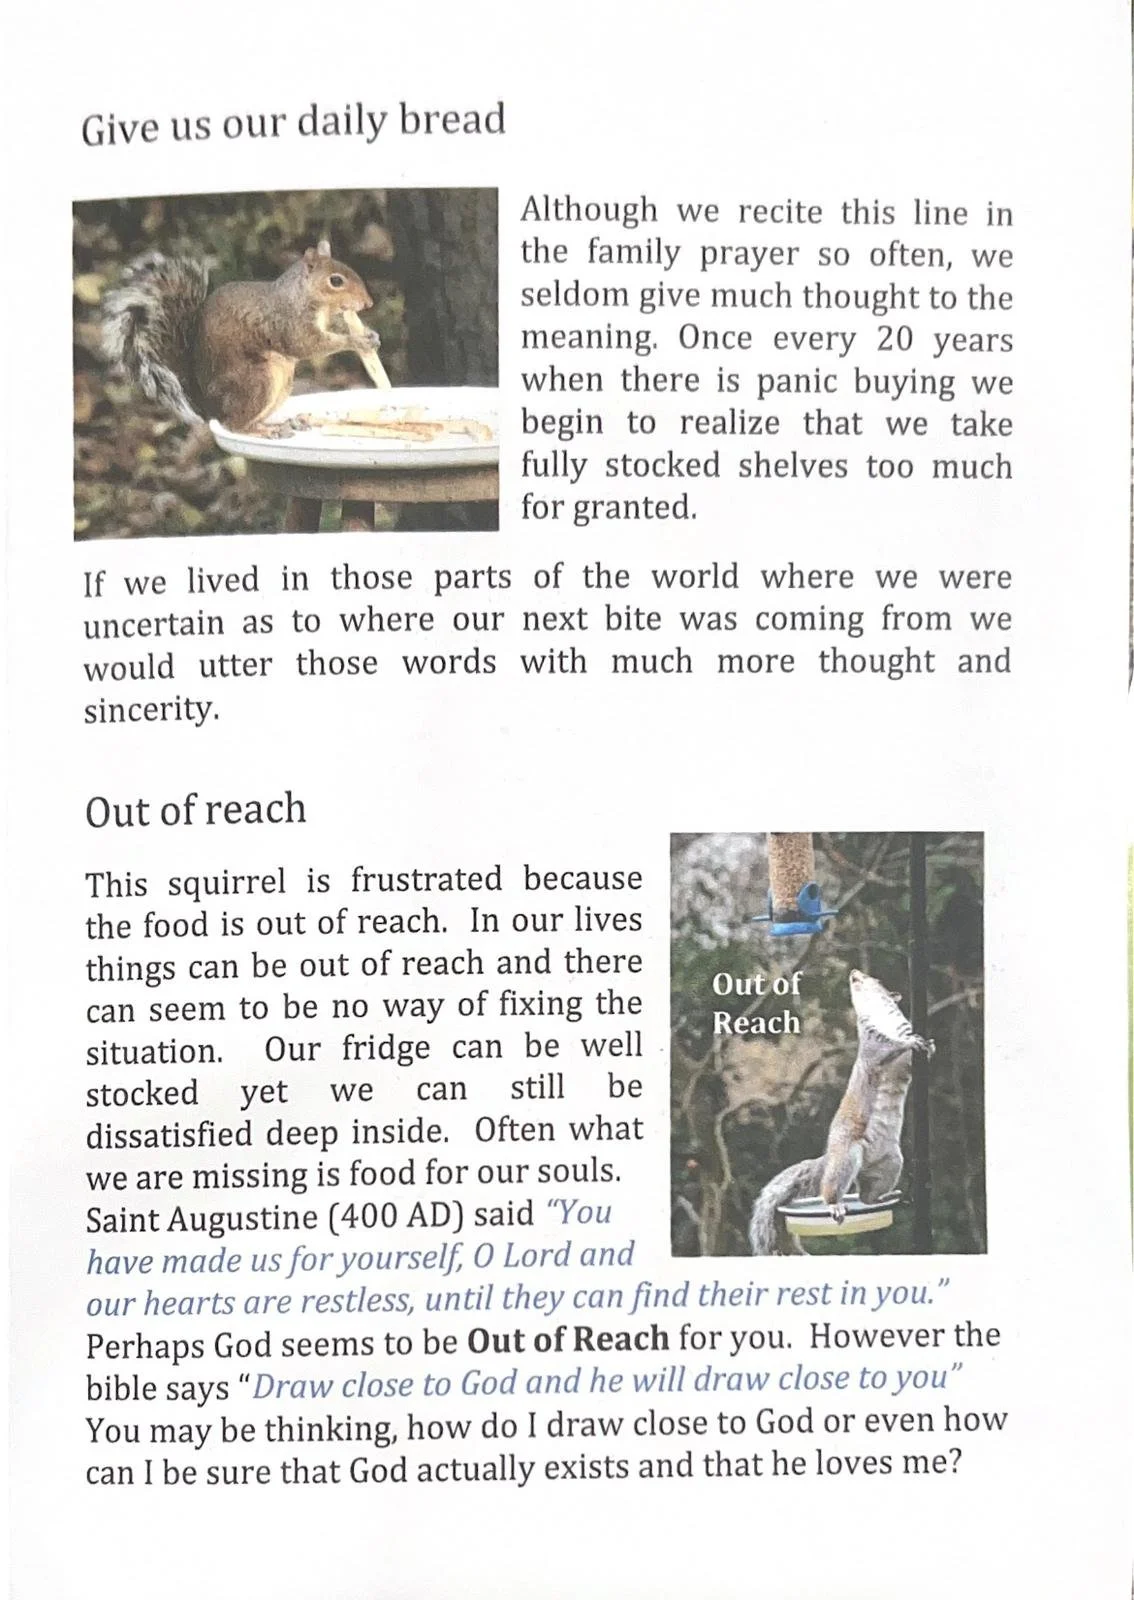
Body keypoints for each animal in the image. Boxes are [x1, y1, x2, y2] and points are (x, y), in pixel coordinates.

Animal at [102, 240, 381, 432]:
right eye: (336, 281)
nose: (368, 303)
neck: (303, 296)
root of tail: (209, 409)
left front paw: (371, 334)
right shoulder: (288, 322)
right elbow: (306, 345)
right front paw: (357, 341)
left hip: (281, 385)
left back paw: (280, 424)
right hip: (257, 382)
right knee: (234, 426)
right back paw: (262, 431)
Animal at [748, 969, 934, 1256]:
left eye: (877, 981)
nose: (855, 973)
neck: (882, 1016)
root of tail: (831, 1155)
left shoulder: (903, 1062)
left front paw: (929, 1045)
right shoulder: (872, 1045)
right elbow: (889, 1048)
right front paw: (909, 1042)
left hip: (890, 1163)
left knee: (867, 1196)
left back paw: (883, 1196)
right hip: (847, 1157)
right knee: (832, 1189)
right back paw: (834, 1204)